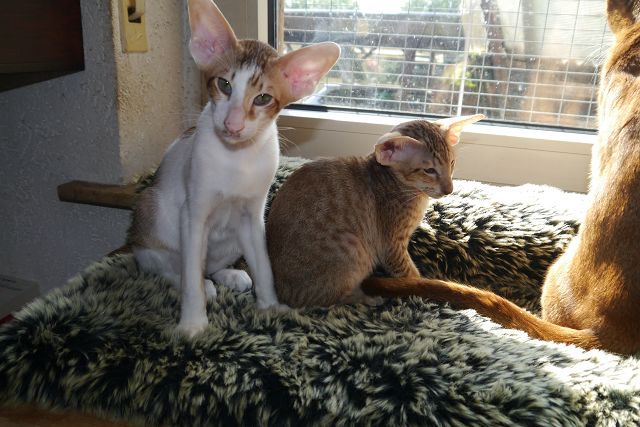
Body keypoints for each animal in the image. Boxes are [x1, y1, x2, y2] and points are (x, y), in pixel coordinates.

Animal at [128, 0, 339, 336]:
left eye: (263, 98)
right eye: (224, 84)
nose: (232, 125)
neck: (238, 159)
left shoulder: (253, 217)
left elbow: (264, 266)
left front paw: (271, 307)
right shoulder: (194, 214)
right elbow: (189, 273)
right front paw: (193, 324)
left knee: (211, 263)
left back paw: (228, 274)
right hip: (151, 217)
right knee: (168, 267)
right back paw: (203, 284)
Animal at [266, 115, 484, 307]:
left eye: (452, 163)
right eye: (429, 170)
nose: (449, 190)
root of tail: (281, 294)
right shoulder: (391, 246)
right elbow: (411, 277)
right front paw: (428, 289)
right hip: (353, 247)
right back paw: (367, 298)